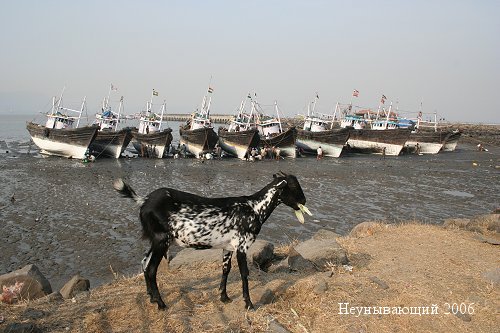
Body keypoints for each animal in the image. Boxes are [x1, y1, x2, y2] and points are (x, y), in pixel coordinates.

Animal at [114, 171, 310, 308]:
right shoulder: (242, 246)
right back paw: (161, 304)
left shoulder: (228, 247)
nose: (305, 201)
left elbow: (225, 270)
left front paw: (224, 297)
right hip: (161, 240)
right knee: (151, 269)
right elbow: (244, 273)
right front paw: (249, 304)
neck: (254, 208)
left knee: (144, 263)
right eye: (294, 187)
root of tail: (143, 200)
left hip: (156, 241)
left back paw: (151, 298)